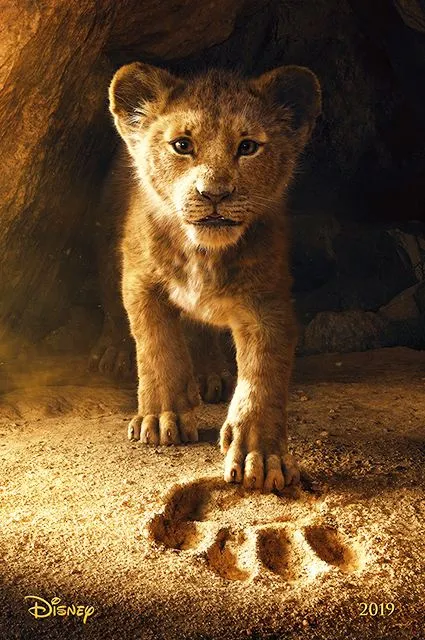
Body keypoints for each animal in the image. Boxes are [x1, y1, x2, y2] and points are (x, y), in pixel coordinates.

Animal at [99, 62, 321, 492]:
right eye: (182, 145)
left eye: (248, 147)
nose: (214, 193)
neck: (203, 253)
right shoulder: (140, 280)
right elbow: (157, 346)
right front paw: (162, 417)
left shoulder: (267, 302)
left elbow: (262, 375)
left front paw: (259, 455)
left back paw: (209, 374)